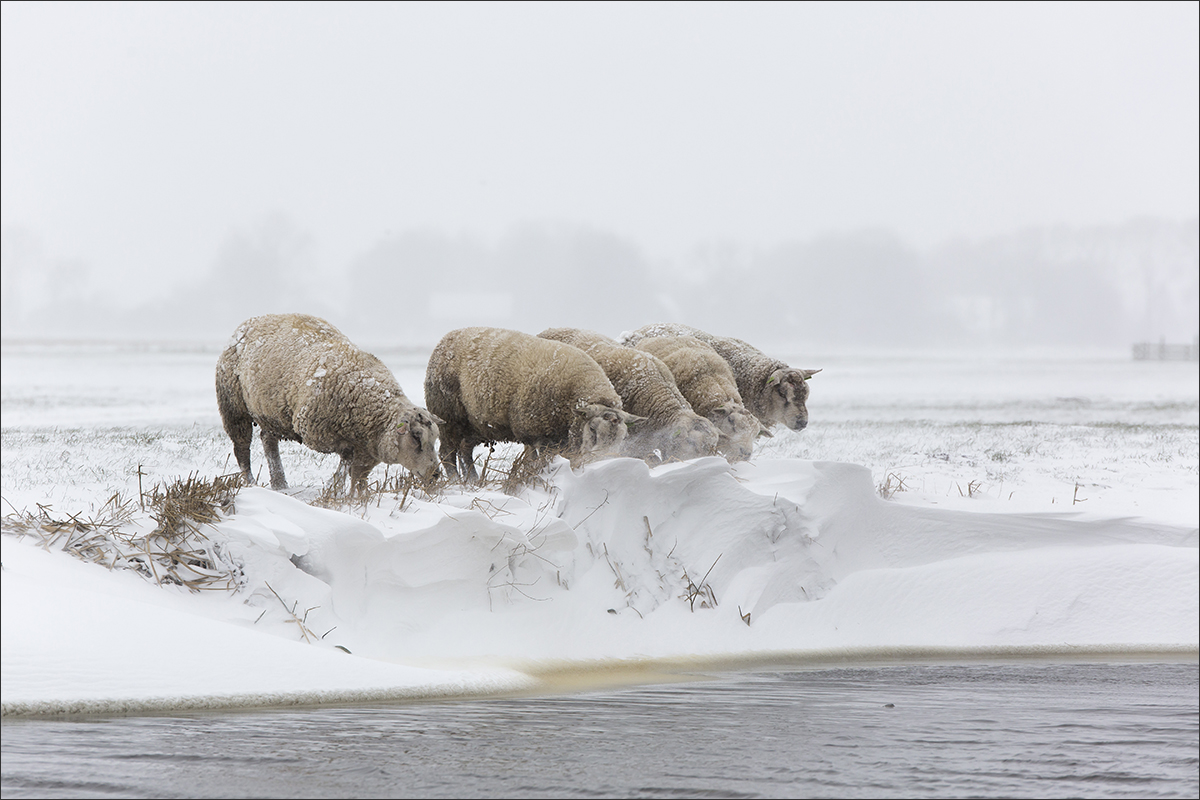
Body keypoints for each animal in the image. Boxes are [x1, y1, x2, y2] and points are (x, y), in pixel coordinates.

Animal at [213, 314, 444, 494]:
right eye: (416, 437)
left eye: (435, 438)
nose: (435, 475)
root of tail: (251, 321)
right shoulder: (319, 432)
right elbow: (347, 458)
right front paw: (336, 488)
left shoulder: (368, 452)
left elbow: (359, 476)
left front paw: (357, 496)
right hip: (233, 407)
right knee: (242, 449)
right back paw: (251, 483)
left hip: (271, 412)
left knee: (268, 440)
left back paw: (280, 484)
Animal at [422, 326, 648, 482]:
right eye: (592, 429)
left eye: (623, 437)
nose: (604, 462)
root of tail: (445, 338)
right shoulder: (535, 433)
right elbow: (534, 461)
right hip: (449, 418)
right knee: (447, 454)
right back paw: (456, 481)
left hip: (474, 425)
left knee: (465, 452)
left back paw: (473, 480)